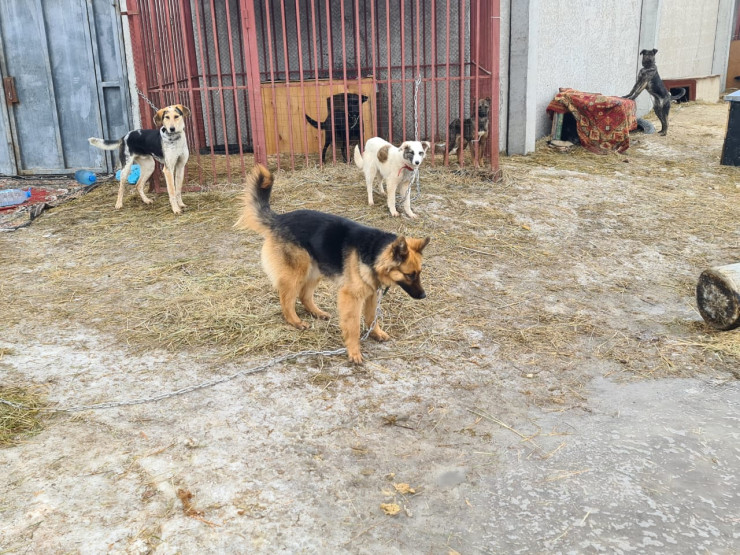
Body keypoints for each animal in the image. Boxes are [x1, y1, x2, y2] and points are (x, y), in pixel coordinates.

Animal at [235, 165, 430, 364]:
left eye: (419, 273)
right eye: (409, 275)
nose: (423, 296)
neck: (373, 250)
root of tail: (279, 219)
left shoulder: (371, 295)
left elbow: (371, 318)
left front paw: (376, 333)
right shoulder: (351, 298)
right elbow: (353, 326)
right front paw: (354, 351)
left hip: (314, 272)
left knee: (304, 296)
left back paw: (317, 313)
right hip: (297, 273)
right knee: (286, 299)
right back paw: (295, 321)